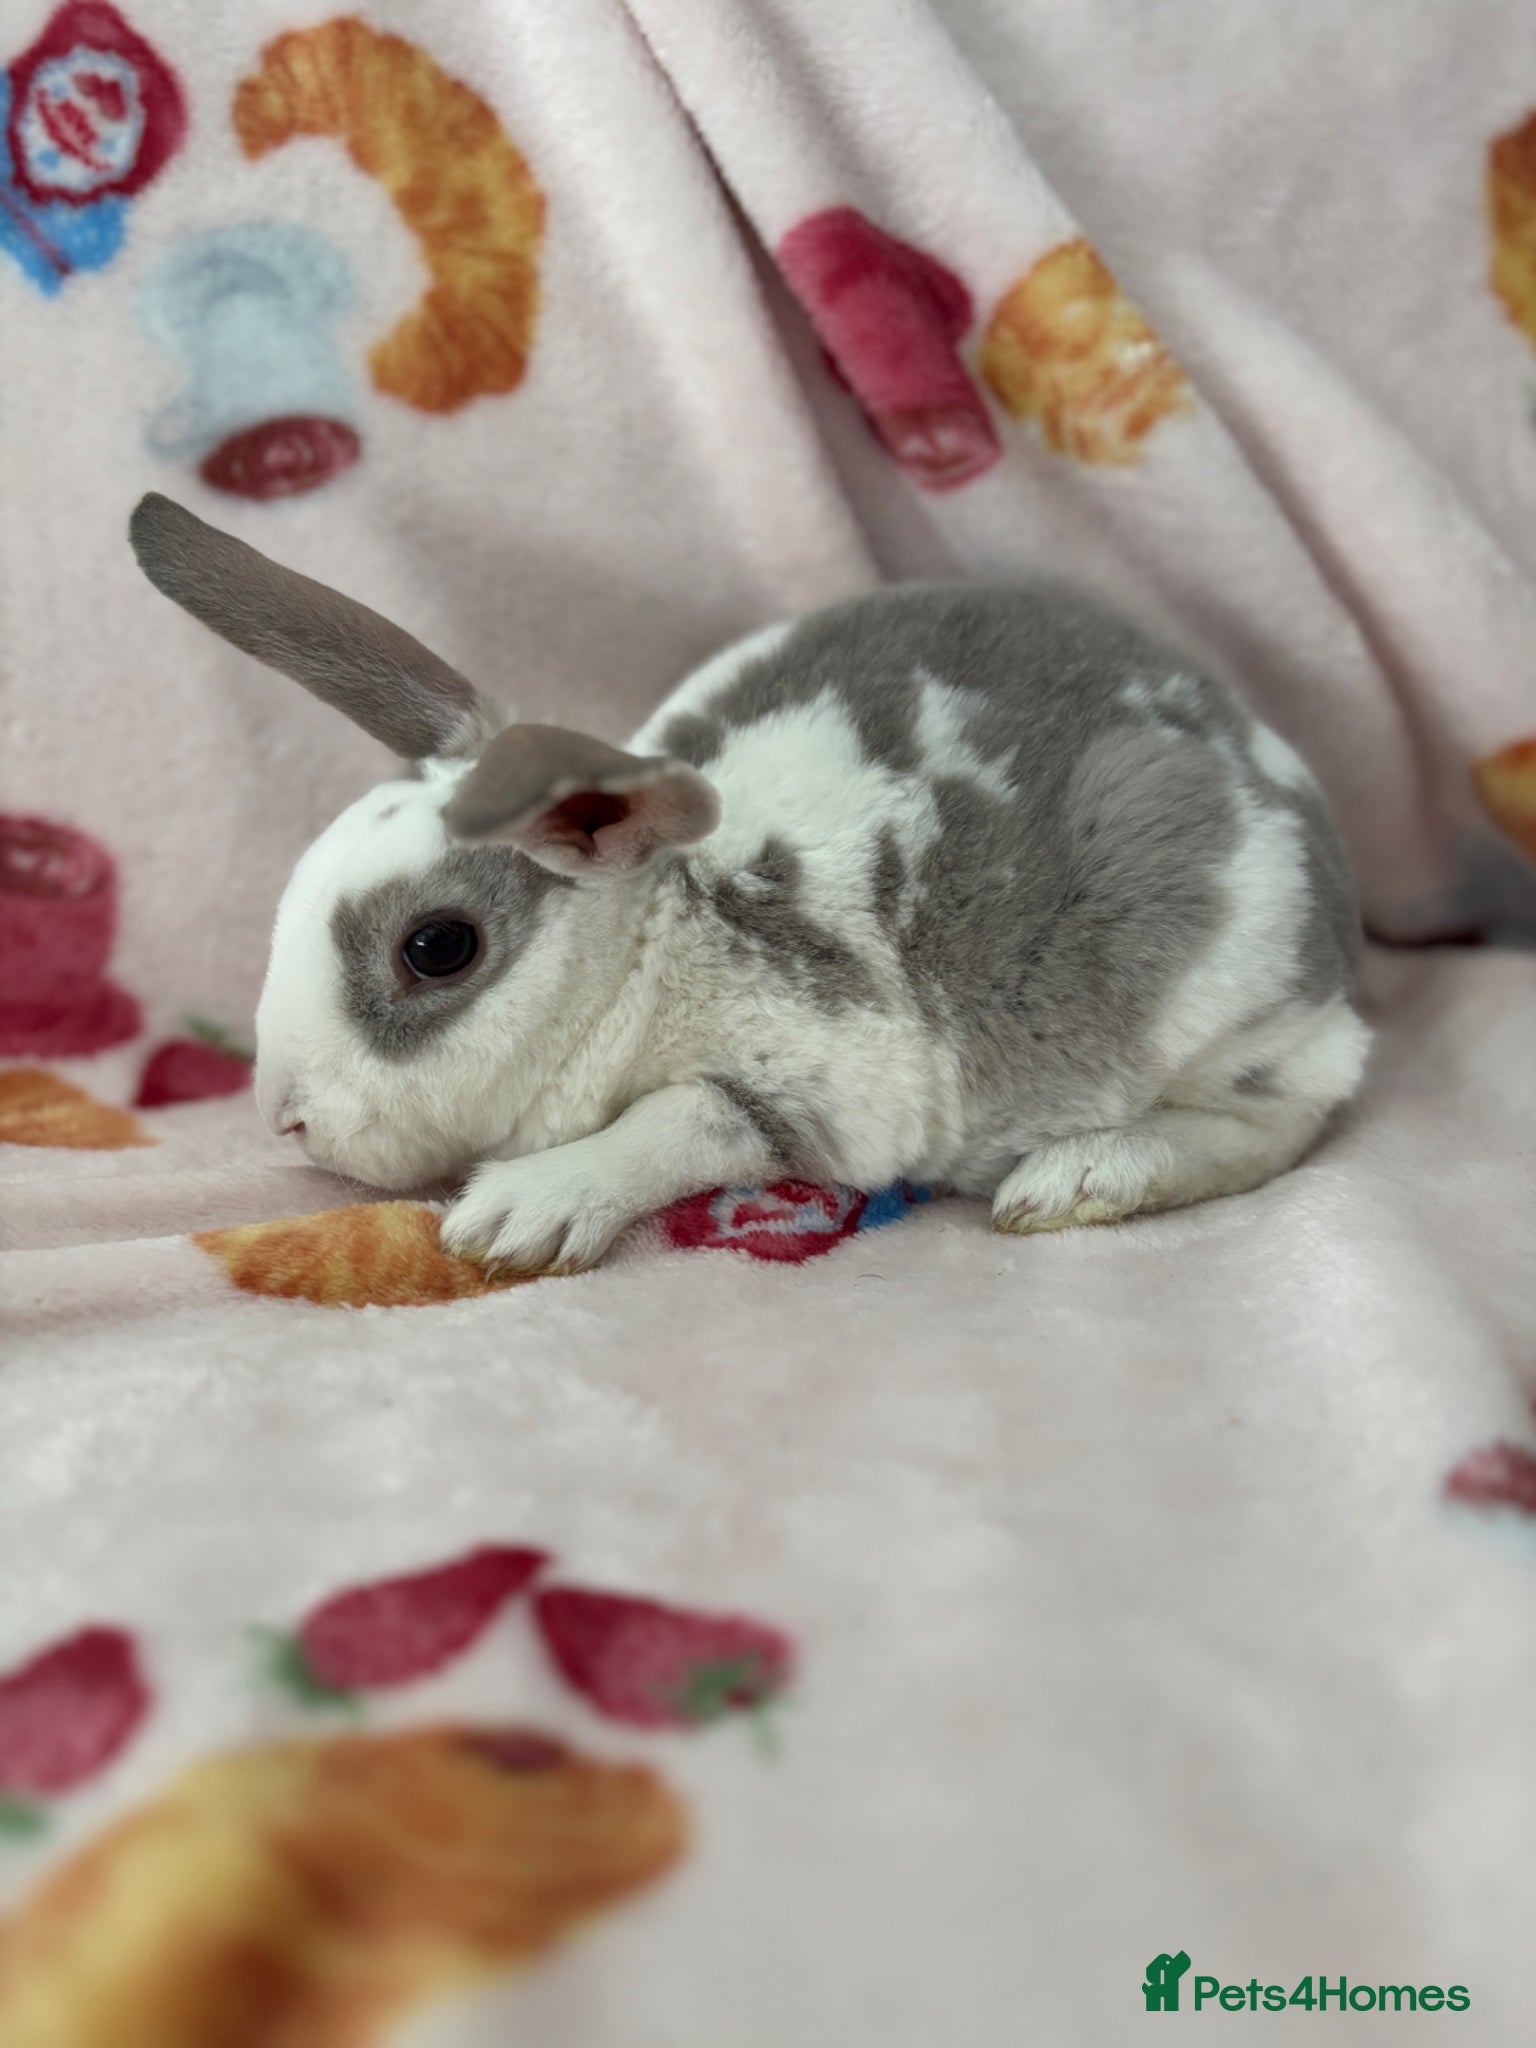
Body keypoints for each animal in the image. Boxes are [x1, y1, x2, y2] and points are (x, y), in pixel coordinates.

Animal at [128, 493, 1370, 1274]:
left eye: (437, 947)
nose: (283, 1117)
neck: (654, 942)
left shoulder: (821, 1075)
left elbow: (687, 1119)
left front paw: (517, 1215)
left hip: (1224, 999)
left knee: (1292, 1114)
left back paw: (1071, 1181)